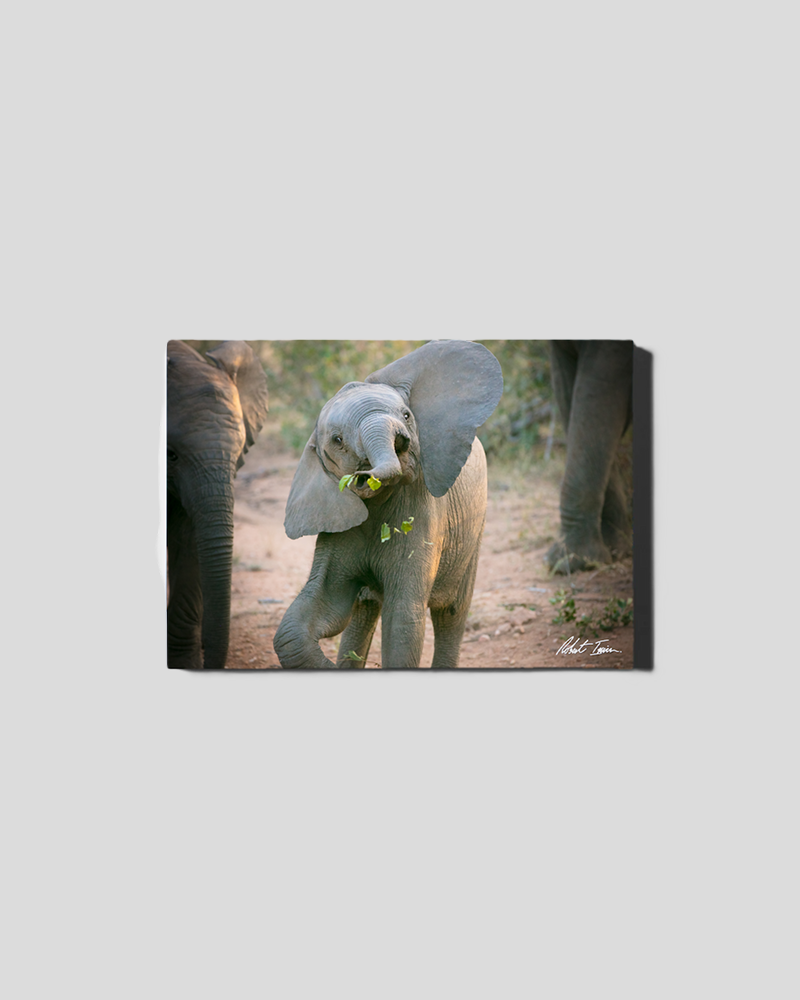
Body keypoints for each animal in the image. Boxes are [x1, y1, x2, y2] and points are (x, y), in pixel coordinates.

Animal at [273, 340, 503, 669]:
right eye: (338, 440)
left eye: (407, 415)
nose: (362, 476)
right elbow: (312, 617)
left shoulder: (423, 511)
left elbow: (403, 619)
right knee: (363, 608)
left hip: (475, 525)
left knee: (451, 612)